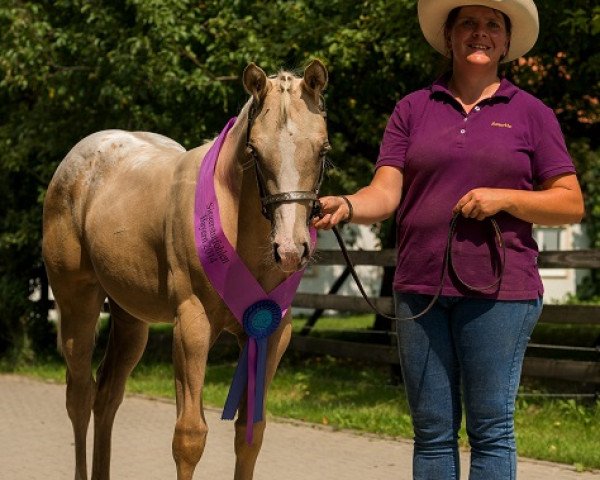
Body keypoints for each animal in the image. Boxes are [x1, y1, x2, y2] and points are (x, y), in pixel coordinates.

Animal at [43, 60, 328, 480]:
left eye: (323, 150)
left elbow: (250, 432)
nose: (291, 250)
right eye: (255, 151)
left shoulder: (272, 331)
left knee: (107, 396)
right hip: (78, 304)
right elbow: (190, 436)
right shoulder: (192, 325)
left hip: (131, 319)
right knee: (79, 396)